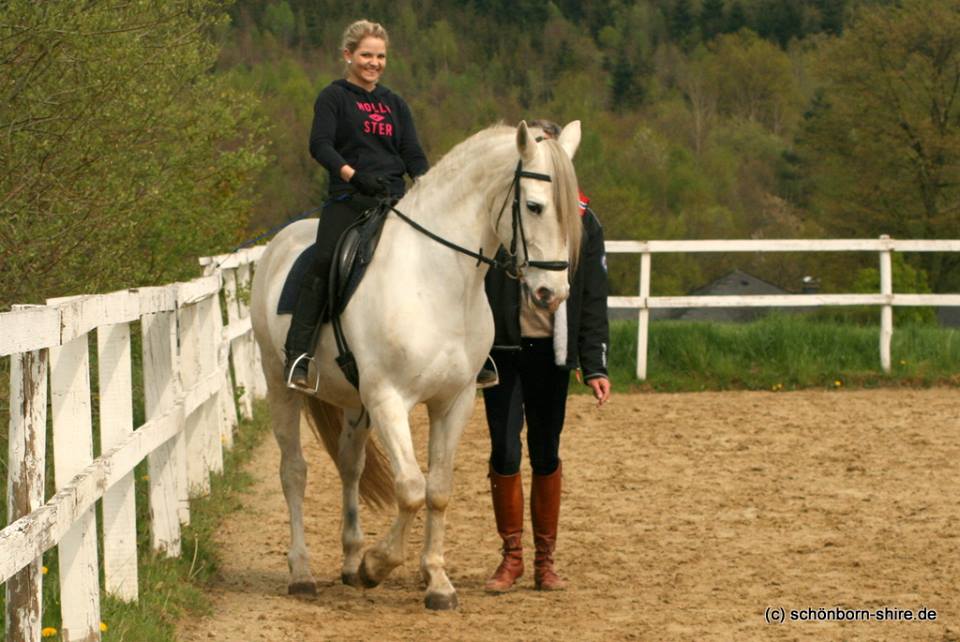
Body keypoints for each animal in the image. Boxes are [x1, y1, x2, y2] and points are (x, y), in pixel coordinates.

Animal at [251, 119, 580, 604]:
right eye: (535, 206)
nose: (551, 295)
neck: (437, 278)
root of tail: (280, 243)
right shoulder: (389, 399)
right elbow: (410, 489)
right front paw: (377, 565)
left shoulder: (454, 401)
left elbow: (438, 490)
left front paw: (436, 582)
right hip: (280, 385)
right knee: (294, 472)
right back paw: (303, 574)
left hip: (355, 403)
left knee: (350, 465)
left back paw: (350, 560)